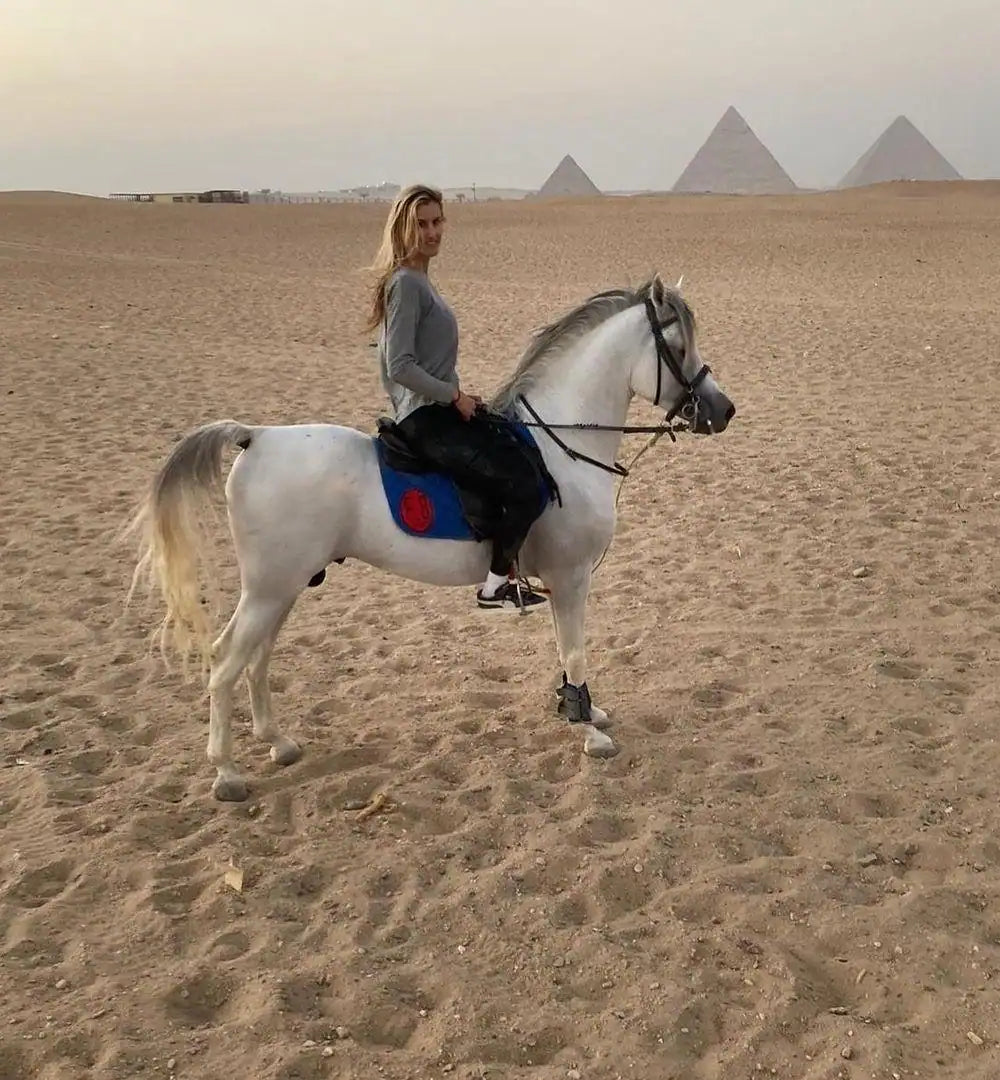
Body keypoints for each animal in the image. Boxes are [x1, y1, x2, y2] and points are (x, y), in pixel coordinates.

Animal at [127, 273, 736, 801]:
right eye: (677, 347)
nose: (723, 410)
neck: (562, 445)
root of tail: (255, 437)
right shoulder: (570, 578)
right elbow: (576, 651)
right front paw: (590, 732)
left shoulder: (562, 582)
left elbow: (566, 654)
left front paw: (582, 712)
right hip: (269, 589)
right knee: (226, 659)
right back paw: (227, 774)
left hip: (284, 588)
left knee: (258, 658)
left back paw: (277, 743)